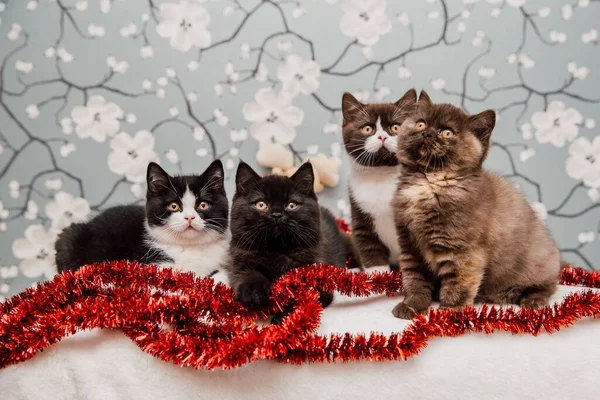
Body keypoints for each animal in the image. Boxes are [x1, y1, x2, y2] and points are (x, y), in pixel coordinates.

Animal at [226, 161, 358, 310]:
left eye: (291, 205)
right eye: (261, 204)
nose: (276, 214)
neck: (276, 249)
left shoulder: (318, 267)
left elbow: (306, 293)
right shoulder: (239, 259)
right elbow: (247, 273)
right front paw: (253, 291)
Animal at [342, 90, 418, 272]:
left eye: (396, 127)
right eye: (367, 129)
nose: (382, 136)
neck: (382, 174)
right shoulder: (360, 214)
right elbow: (370, 251)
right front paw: (378, 278)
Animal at [392, 90, 560, 318]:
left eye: (447, 133)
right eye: (420, 124)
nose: (427, 134)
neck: (429, 181)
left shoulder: (463, 252)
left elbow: (457, 286)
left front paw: (448, 315)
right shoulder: (410, 245)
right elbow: (415, 280)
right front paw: (412, 304)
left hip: (539, 261)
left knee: (548, 285)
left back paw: (532, 299)